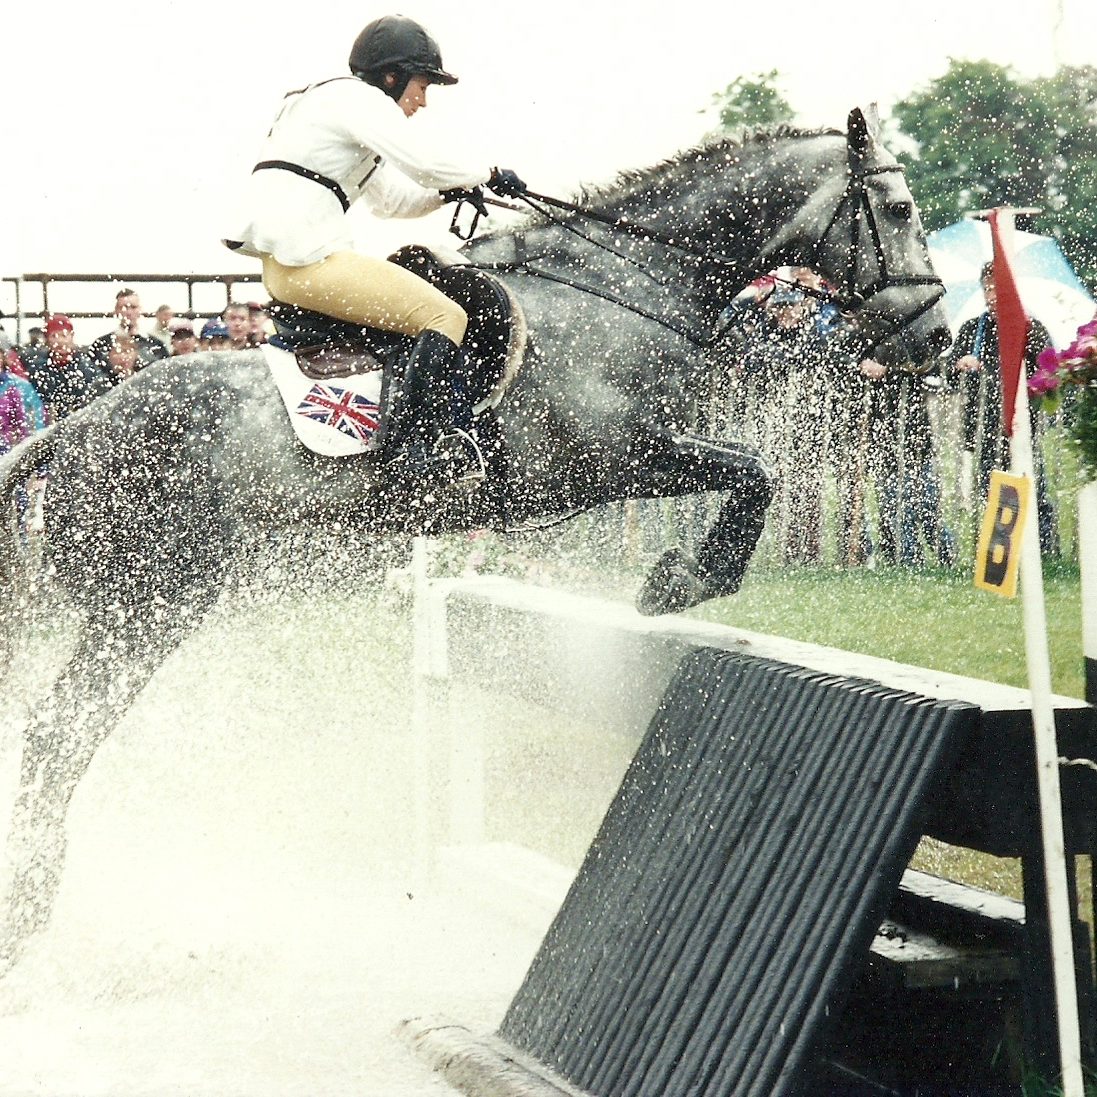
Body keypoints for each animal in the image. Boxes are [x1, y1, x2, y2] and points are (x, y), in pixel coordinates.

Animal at [0, 106, 947, 965]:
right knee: (59, 729)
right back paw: (32, 897)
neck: (625, 291)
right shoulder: (618, 459)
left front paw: (682, 576)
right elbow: (755, 474)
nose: (934, 337)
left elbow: (751, 473)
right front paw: (679, 579)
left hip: (133, 603)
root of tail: (71, 429)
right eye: (900, 209)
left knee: (60, 728)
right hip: (150, 601)